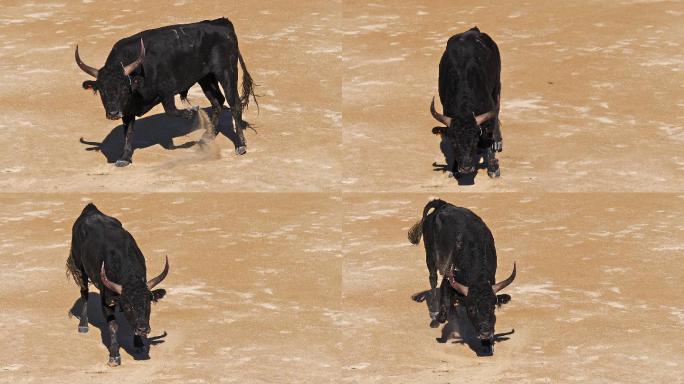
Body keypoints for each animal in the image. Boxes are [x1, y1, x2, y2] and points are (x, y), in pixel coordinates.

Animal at [65, 201, 170, 366]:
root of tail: (90, 209)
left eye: (148, 303)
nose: (143, 329)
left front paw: (139, 344)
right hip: (80, 267)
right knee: (84, 294)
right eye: (127, 306)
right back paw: (83, 325)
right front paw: (114, 356)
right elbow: (113, 326)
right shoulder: (106, 299)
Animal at [75, 17, 256, 166]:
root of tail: (222, 23)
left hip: (226, 71)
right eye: (102, 91)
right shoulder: (127, 109)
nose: (113, 113)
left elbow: (170, 110)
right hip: (205, 77)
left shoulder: (167, 90)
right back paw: (207, 136)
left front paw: (192, 111)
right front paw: (124, 157)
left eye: (124, 89)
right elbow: (128, 130)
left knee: (234, 103)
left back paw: (241, 145)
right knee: (217, 101)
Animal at [408, 201, 516, 354]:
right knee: (433, 280)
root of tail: (442, 204)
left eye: (492, 307)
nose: (485, 333)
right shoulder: (448, 278)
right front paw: (440, 317)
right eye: (471, 309)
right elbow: (444, 309)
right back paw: (435, 316)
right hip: (430, 256)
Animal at [430, 27, 504, 180]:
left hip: (497, 86)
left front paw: (493, 168)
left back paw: (497, 142)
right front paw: (454, 169)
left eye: (475, 140)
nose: (466, 168)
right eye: (454, 142)